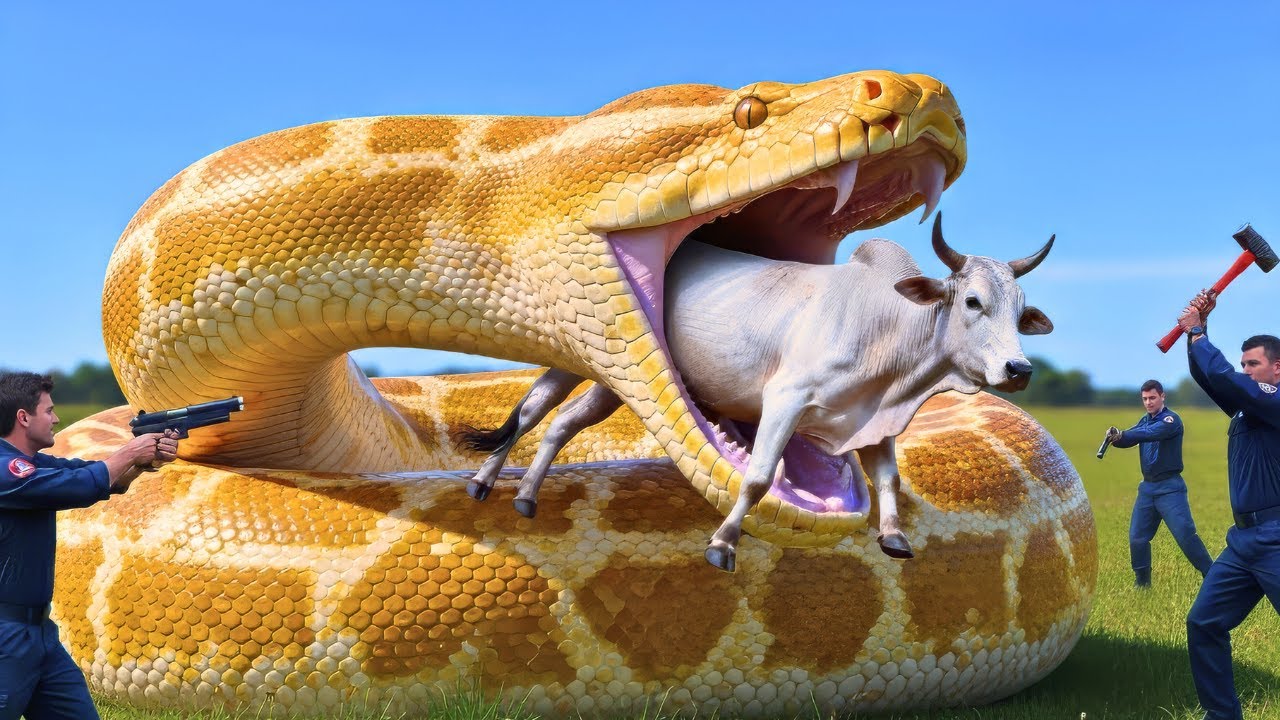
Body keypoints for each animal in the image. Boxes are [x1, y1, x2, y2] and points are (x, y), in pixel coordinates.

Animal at [462, 214, 1054, 571]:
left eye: (1021, 311)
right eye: (972, 301)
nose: (1019, 368)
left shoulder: (875, 421)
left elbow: (888, 478)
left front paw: (894, 538)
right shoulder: (786, 401)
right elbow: (759, 477)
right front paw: (723, 542)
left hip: (614, 386)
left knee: (560, 423)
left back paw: (522, 494)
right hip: (581, 363)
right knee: (531, 410)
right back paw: (485, 481)